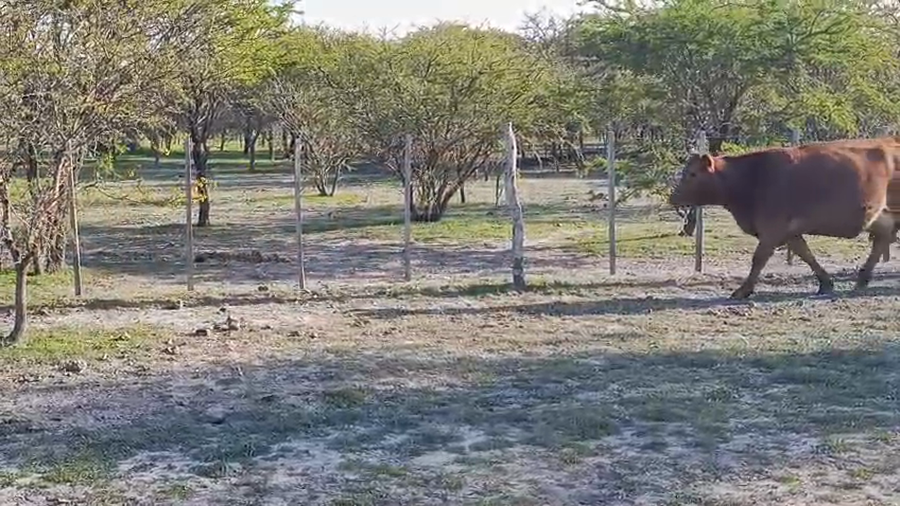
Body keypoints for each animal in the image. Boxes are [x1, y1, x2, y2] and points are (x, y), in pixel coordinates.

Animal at [669, 137, 900, 299]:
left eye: (692, 174)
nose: (673, 197)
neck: (752, 177)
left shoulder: (772, 229)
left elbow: (759, 259)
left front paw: (742, 290)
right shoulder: (789, 232)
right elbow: (805, 253)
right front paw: (825, 283)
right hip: (881, 217)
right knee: (881, 241)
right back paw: (862, 280)